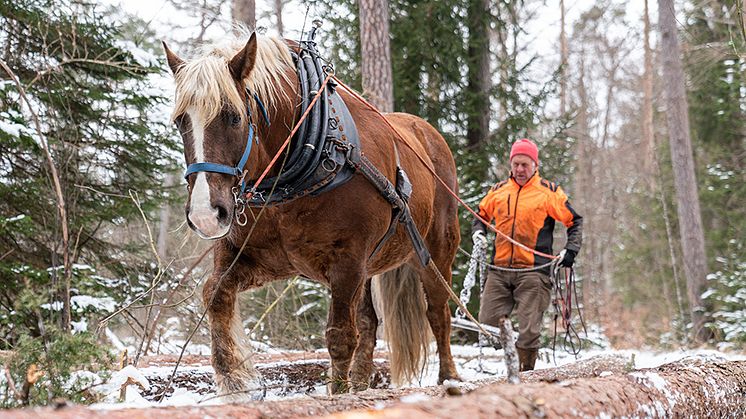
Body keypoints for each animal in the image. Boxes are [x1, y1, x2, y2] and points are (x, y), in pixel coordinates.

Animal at [163, 32, 460, 398]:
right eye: (181, 121)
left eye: (233, 116)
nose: (206, 213)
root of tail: (426, 133)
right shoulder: (258, 257)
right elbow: (215, 293)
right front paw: (232, 376)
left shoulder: (347, 261)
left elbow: (340, 337)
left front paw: (338, 392)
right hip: (369, 268)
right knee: (369, 322)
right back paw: (361, 383)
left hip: (433, 252)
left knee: (438, 313)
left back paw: (448, 377)